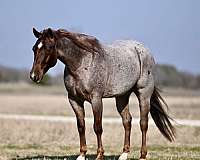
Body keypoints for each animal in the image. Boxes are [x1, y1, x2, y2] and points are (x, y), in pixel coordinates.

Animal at [29, 27, 175, 160]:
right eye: (34, 48)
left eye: (49, 47)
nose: (34, 76)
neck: (81, 62)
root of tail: (143, 50)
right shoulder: (74, 100)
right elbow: (81, 126)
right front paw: (82, 154)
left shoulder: (96, 99)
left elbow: (97, 127)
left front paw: (99, 155)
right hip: (122, 96)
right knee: (127, 121)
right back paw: (124, 154)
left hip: (144, 94)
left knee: (143, 123)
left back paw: (143, 155)